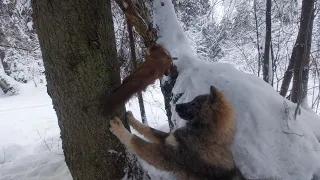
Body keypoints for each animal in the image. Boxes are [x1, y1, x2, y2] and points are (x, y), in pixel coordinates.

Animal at [109, 86, 245, 179]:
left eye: (194, 104)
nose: (176, 105)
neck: (202, 136)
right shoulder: (168, 139)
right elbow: (147, 129)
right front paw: (130, 119)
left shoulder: (166, 157)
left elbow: (135, 140)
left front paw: (119, 128)